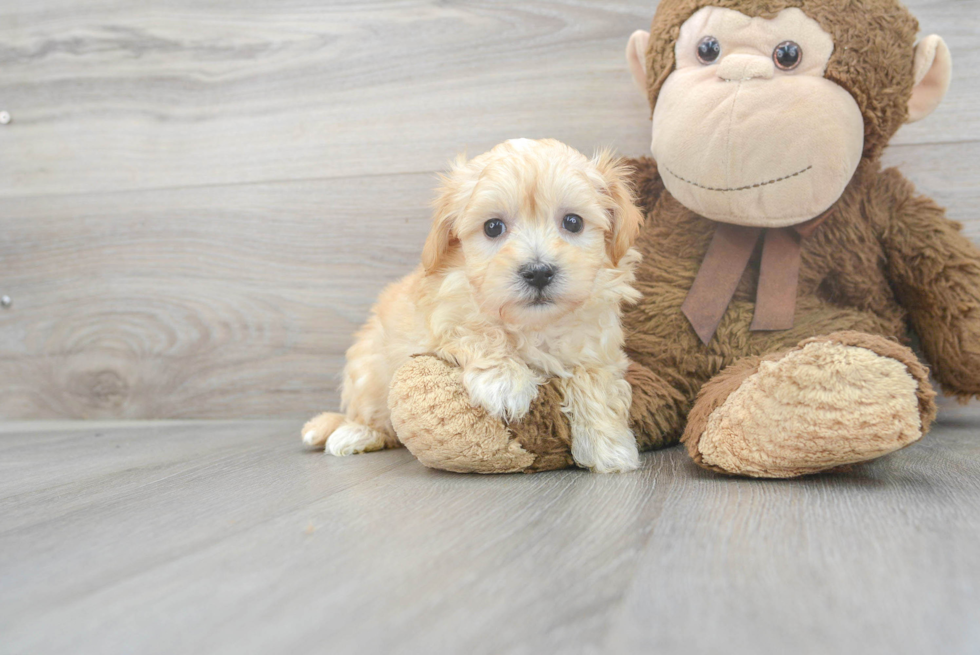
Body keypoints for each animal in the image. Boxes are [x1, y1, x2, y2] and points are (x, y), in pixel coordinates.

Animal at [302, 138, 648, 472]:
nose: (538, 272)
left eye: (573, 222)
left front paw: (608, 445)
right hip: (368, 368)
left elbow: (596, 383)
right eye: (493, 227)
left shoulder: (596, 346)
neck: (532, 325)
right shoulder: (441, 317)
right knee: (374, 417)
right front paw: (506, 381)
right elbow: (477, 331)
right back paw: (355, 432)